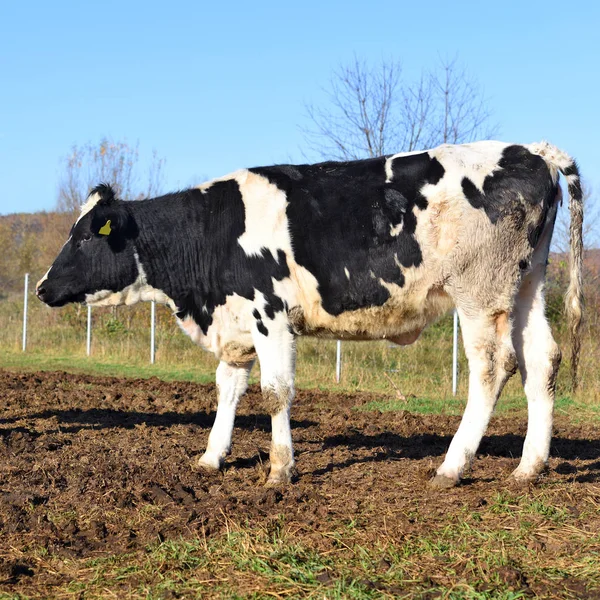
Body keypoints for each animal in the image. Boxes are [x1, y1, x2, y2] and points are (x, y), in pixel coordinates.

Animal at [36, 141, 580, 488]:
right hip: (526, 284)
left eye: (84, 237)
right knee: (542, 361)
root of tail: (530, 149)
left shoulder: (270, 315)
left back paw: (452, 466)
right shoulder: (236, 325)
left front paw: (280, 470)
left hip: (479, 291)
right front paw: (211, 457)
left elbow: (275, 394)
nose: (42, 287)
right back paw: (528, 468)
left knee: (491, 367)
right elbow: (227, 390)